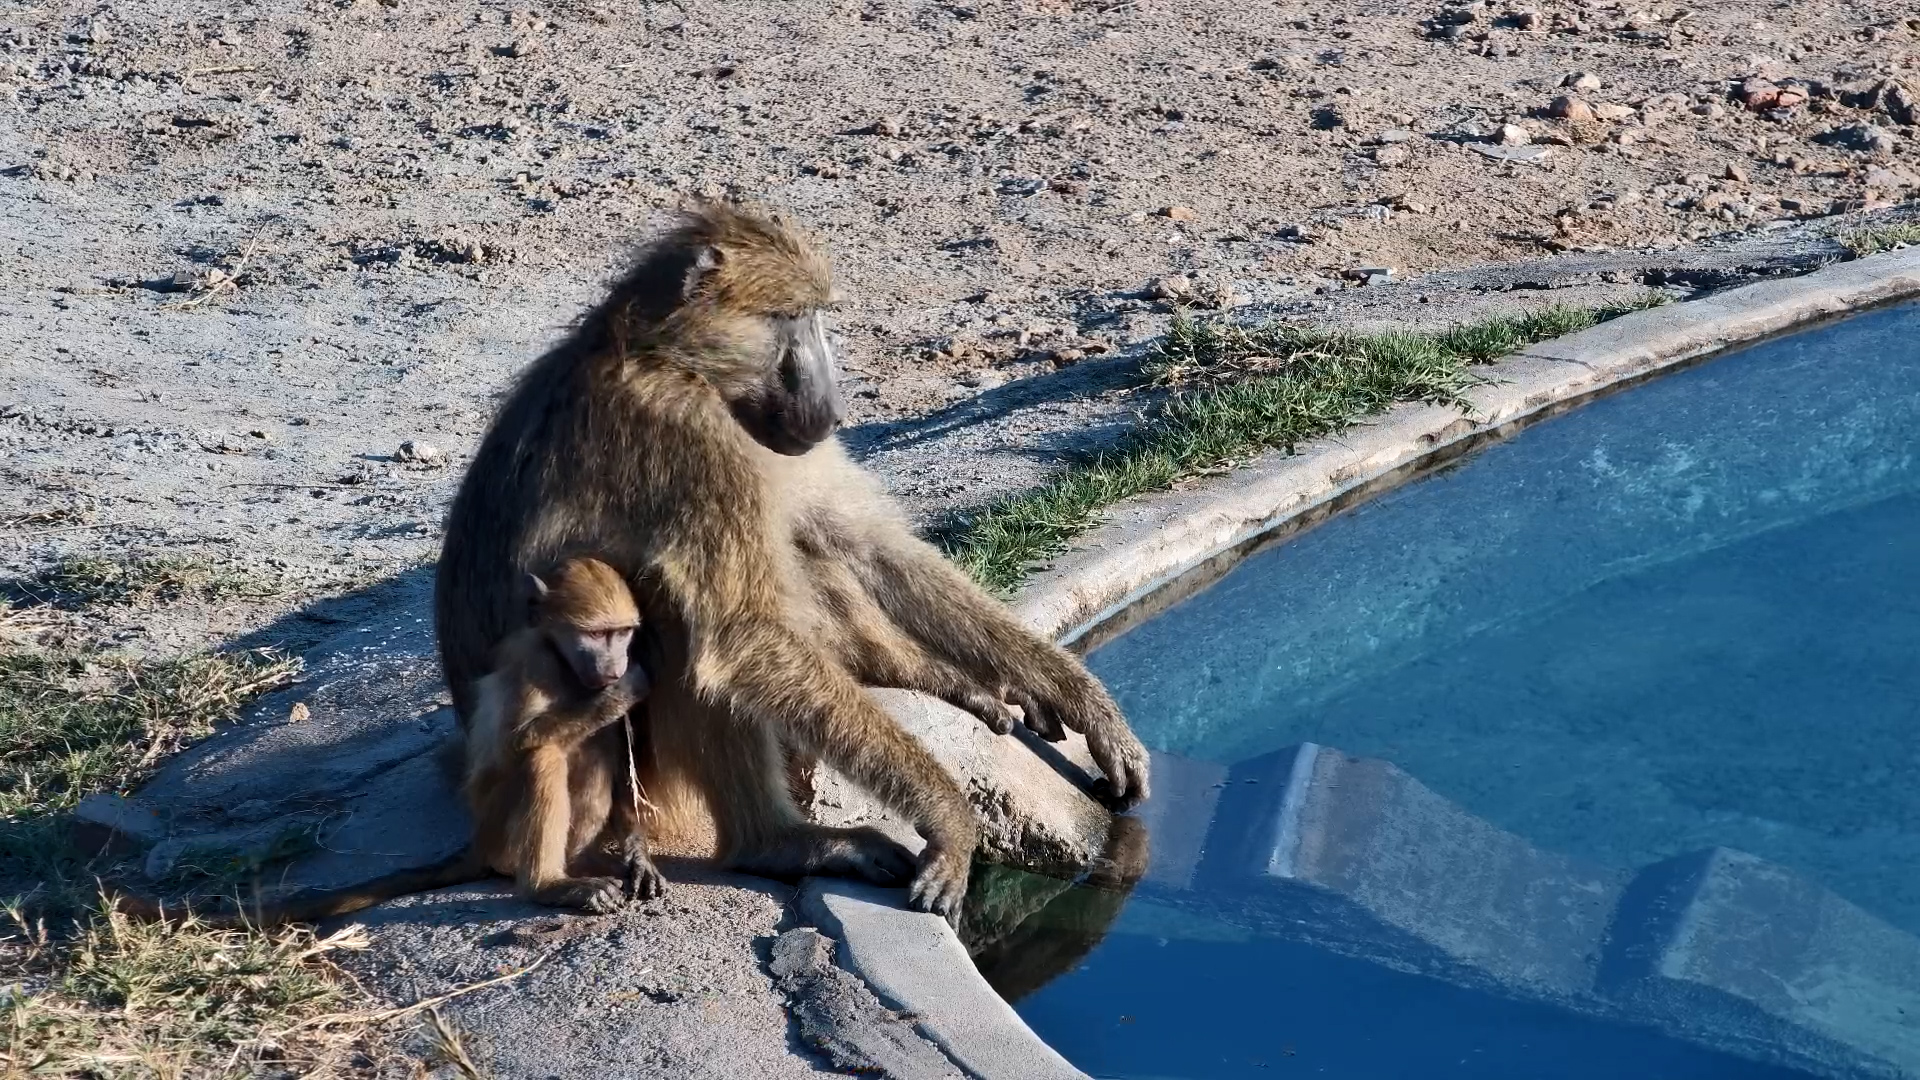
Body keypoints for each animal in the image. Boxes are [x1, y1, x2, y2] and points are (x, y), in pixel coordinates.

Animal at [461, 555, 664, 912]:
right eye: (596, 634)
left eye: (623, 633)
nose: (615, 669)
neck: (563, 661)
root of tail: (479, 845)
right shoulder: (534, 662)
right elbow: (513, 744)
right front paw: (625, 689)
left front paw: (639, 858)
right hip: (497, 833)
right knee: (543, 756)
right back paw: (547, 885)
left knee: (600, 743)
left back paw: (581, 861)